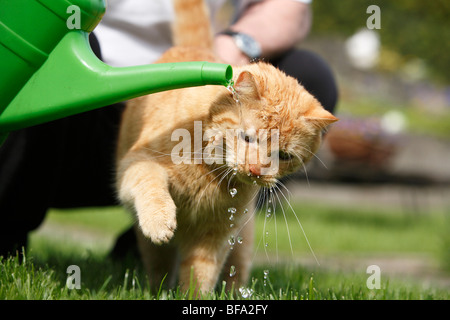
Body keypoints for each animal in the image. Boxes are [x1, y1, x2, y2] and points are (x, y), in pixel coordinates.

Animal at [114, 0, 336, 294]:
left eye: (284, 155)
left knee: (234, 273)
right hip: (154, 246)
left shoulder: (216, 233)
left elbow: (201, 272)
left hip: (242, 241)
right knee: (159, 263)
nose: (256, 170)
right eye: (247, 138)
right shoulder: (136, 163)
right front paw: (160, 221)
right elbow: (149, 182)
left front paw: (194, 296)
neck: (209, 170)